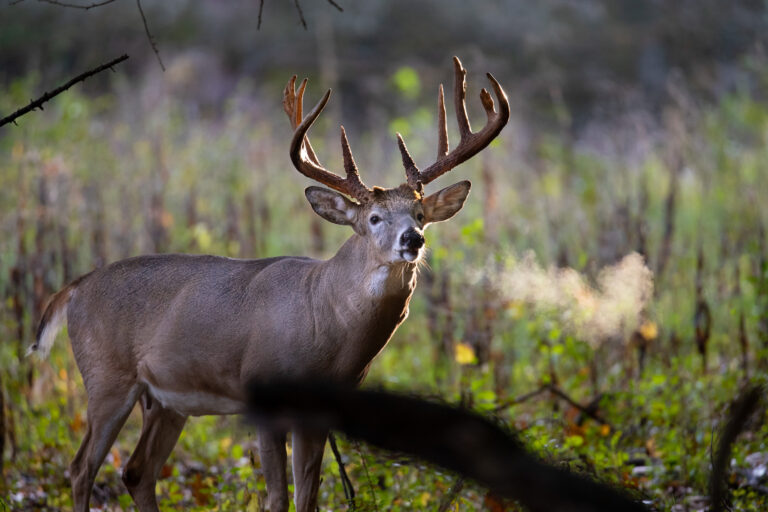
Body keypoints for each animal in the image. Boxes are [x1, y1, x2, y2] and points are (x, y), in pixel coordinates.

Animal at [29, 56, 509, 512]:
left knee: (136, 471)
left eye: (421, 214)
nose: (413, 239)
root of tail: (76, 287)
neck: (323, 321)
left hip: (163, 399)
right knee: (81, 468)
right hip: (106, 375)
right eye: (374, 218)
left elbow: (308, 497)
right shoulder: (262, 395)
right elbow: (278, 498)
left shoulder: (323, 411)